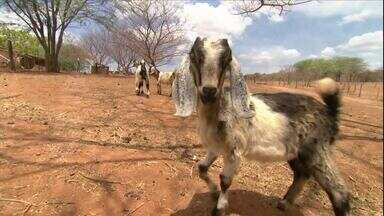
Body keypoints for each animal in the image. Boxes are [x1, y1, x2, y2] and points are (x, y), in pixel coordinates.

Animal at [172, 37, 350, 216]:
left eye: (226, 59)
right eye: (195, 56)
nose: (209, 91)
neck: (220, 109)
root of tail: (330, 113)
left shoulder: (234, 149)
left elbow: (225, 180)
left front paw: (219, 208)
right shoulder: (216, 146)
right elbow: (201, 168)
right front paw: (214, 193)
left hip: (317, 150)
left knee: (339, 192)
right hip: (297, 152)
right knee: (302, 174)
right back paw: (284, 203)